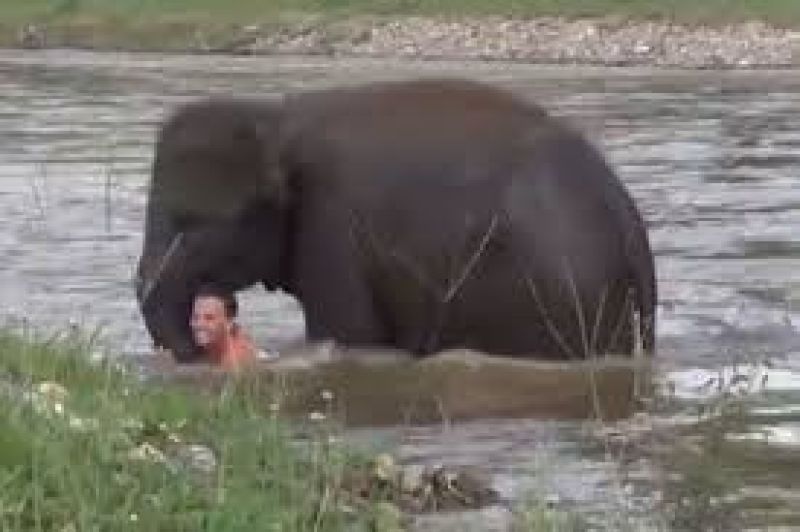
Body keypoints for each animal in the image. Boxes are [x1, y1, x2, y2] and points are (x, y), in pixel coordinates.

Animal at [135, 78, 656, 363]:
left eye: (193, 224)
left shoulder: (333, 227)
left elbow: (349, 330)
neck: (275, 118)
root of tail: (627, 214)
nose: (199, 345)